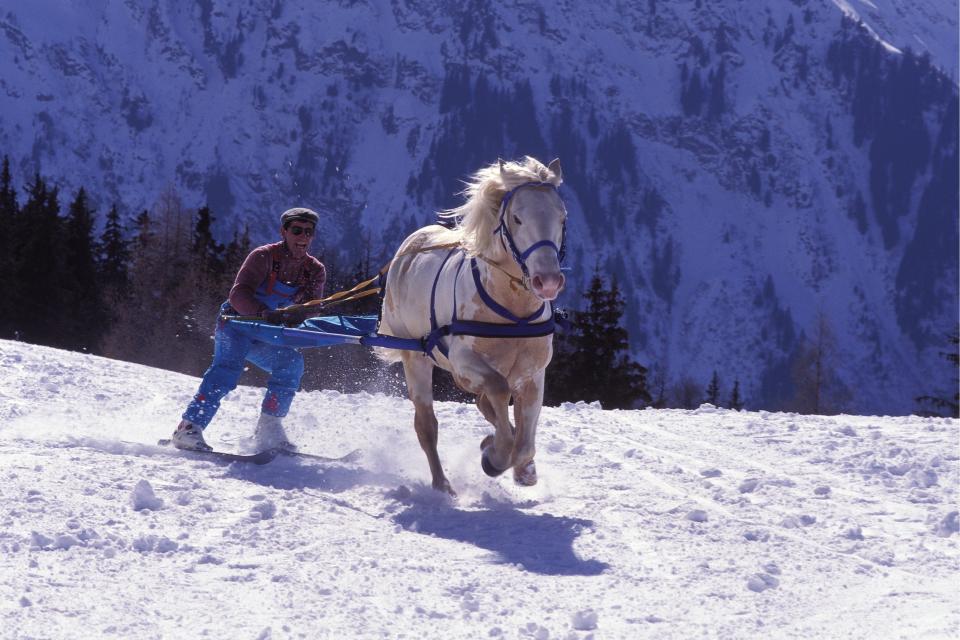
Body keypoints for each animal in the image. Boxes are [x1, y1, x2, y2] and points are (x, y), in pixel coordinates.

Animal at [376, 155, 568, 496]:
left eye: (562, 218)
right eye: (517, 218)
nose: (547, 281)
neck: (512, 312)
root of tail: (407, 249)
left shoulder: (533, 374)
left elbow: (526, 440)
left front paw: (521, 467)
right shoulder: (464, 363)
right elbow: (499, 391)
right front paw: (495, 456)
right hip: (415, 358)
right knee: (427, 426)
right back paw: (442, 484)